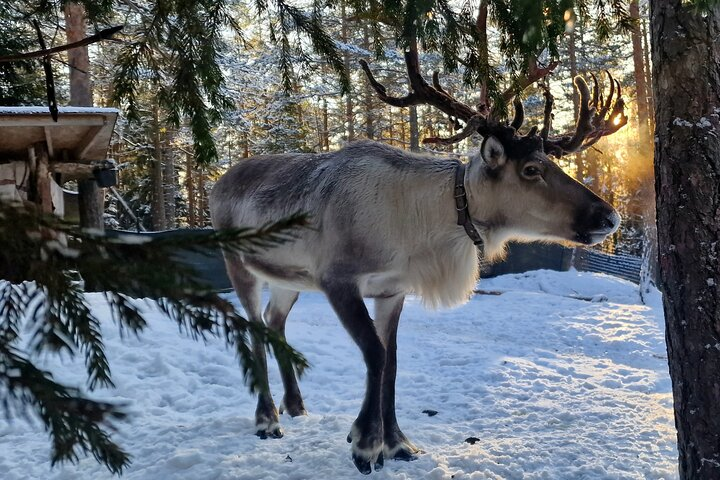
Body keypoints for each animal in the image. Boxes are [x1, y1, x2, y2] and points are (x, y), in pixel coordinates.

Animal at [209, 46, 627, 475]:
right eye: (531, 169)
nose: (609, 218)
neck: (420, 227)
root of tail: (218, 181)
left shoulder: (392, 290)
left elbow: (391, 362)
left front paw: (397, 443)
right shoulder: (338, 279)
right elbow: (374, 353)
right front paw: (365, 442)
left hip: (288, 279)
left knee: (274, 321)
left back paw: (295, 405)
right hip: (237, 261)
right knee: (253, 323)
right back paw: (267, 419)